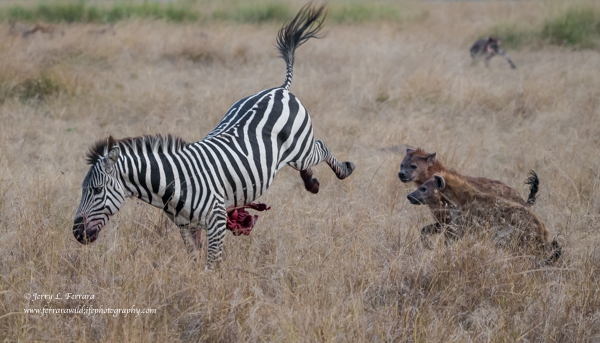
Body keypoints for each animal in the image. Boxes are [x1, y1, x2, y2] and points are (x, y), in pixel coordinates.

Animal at [71, 4, 354, 270]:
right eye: (83, 189)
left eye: (96, 190)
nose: (76, 233)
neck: (173, 184)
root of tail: (280, 89)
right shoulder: (187, 227)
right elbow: (196, 262)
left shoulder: (217, 219)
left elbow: (212, 264)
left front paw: (214, 286)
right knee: (310, 161)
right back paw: (312, 182)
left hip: (301, 147)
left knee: (321, 147)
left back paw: (342, 171)